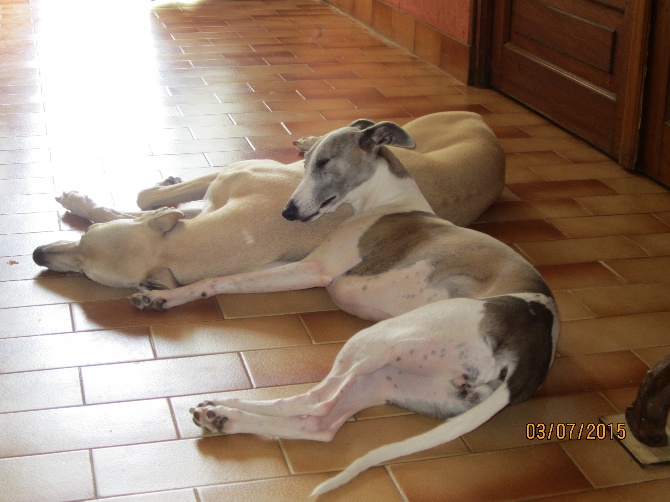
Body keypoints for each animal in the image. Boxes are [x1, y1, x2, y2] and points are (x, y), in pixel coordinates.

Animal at [129, 120, 560, 494]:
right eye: (305, 162)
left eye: (324, 162)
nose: (287, 212)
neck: (388, 201)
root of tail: (531, 355)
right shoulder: (290, 265)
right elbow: (236, 275)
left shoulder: (314, 269)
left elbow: (219, 280)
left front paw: (161, 296)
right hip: (394, 377)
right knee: (323, 423)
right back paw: (221, 417)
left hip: (380, 339)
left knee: (315, 400)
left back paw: (224, 407)